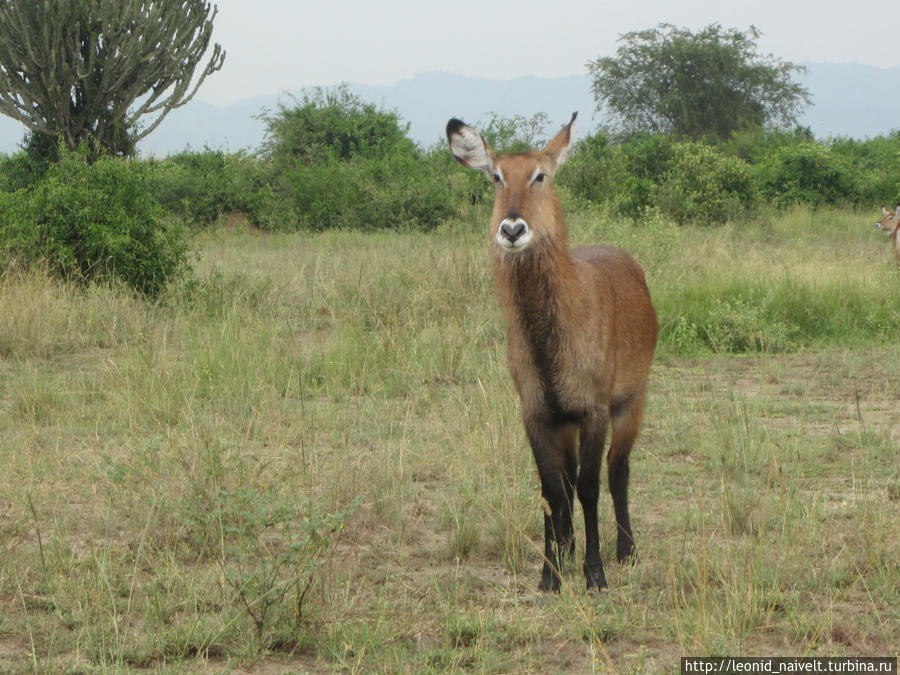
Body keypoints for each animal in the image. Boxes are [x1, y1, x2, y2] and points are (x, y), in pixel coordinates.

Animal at [446, 112, 656, 592]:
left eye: (540, 175)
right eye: (496, 176)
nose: (512, 228)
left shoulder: (594, 410)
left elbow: (591, 487)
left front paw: (595, 575)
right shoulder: (538, 414)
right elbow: (551, 489)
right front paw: (550, 575)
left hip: (632, 402)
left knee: (618, 471)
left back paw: (627, 551)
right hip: (567, 423)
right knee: (567, 481)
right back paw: (569, 549)